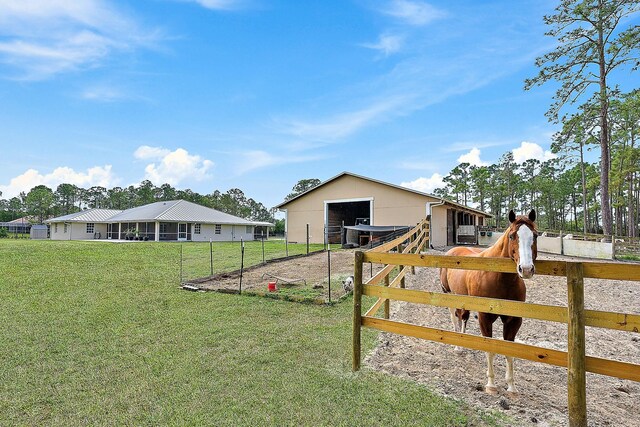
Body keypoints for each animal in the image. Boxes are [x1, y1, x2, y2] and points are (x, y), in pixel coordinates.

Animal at [440, 210, 536, 394]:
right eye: (512, 236)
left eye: (535, 235)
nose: (526, 269)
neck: (499, 277)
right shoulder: (484, 317)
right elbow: (490, 349)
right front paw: (491, 385)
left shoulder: (514, 320)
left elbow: (509, 350)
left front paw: (512, 387)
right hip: (449, 295)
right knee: (455, 319)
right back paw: (458, 346)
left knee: (463, 318)